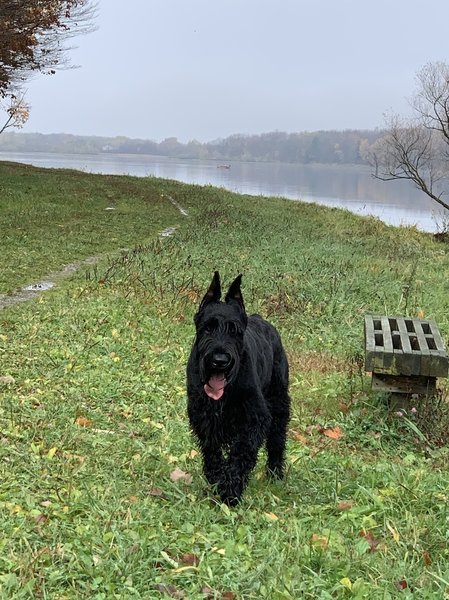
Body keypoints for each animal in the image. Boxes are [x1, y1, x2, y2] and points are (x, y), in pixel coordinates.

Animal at [186, 274, 290, 504]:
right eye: (208, 327)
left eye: (235, 331)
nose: (219, 361)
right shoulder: (203, 417)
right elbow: (212, 452)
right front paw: (217, 479)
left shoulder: (255, 418)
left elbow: (242, 452)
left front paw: (231, 489)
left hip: (279, 402)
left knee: (277, 440)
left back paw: (275, 473)